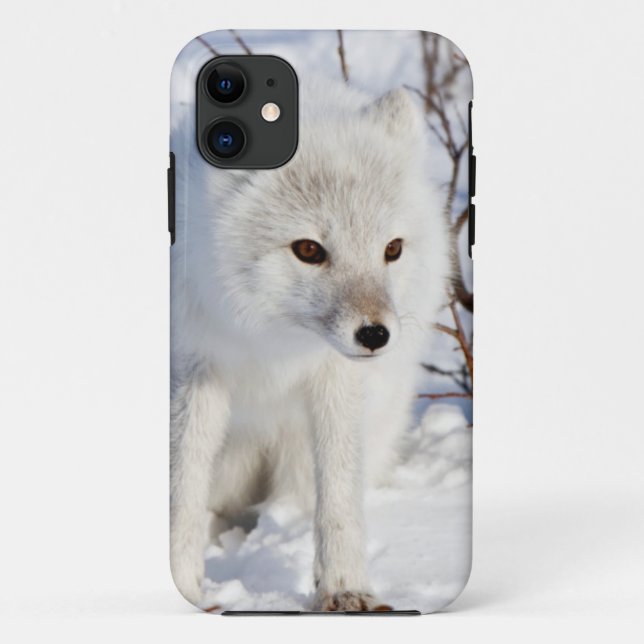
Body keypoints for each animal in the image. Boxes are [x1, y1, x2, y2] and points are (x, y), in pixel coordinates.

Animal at [169, 77, 451, 611]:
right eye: (308, 250)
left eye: (392, 248)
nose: (375, 335)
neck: (271, 341)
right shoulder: (195, 372)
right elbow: (182, 489)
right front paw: (184, 586)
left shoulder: (335, 377)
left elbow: (339, 494)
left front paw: (345, 588)